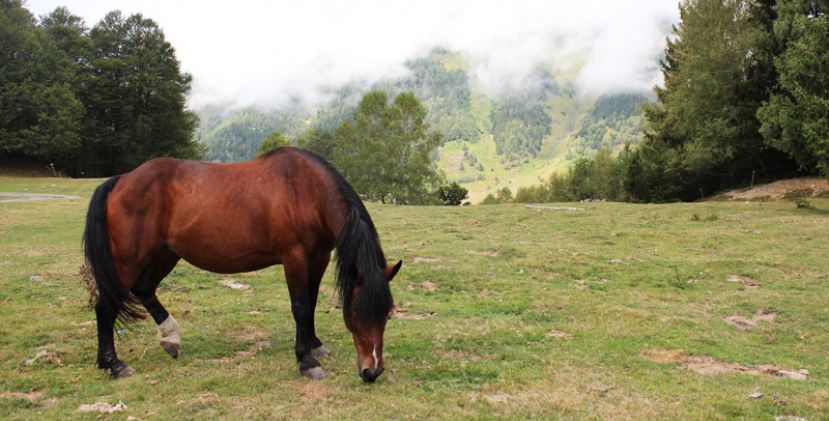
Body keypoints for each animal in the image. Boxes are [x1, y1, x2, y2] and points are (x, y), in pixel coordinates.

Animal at [81, 146, 402, 382]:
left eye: (386, 314)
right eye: (357, 312)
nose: (372, 371)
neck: (304, 190)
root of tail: (122, 180)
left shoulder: (319, 257)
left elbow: (310, 303)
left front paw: (314, 344)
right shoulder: (294, 257)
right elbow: (300, 307)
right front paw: (306, 361)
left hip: (164, 254)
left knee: (144, 289)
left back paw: (170, 338)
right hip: (129, 259)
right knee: (106, 307)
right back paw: (113, 364)